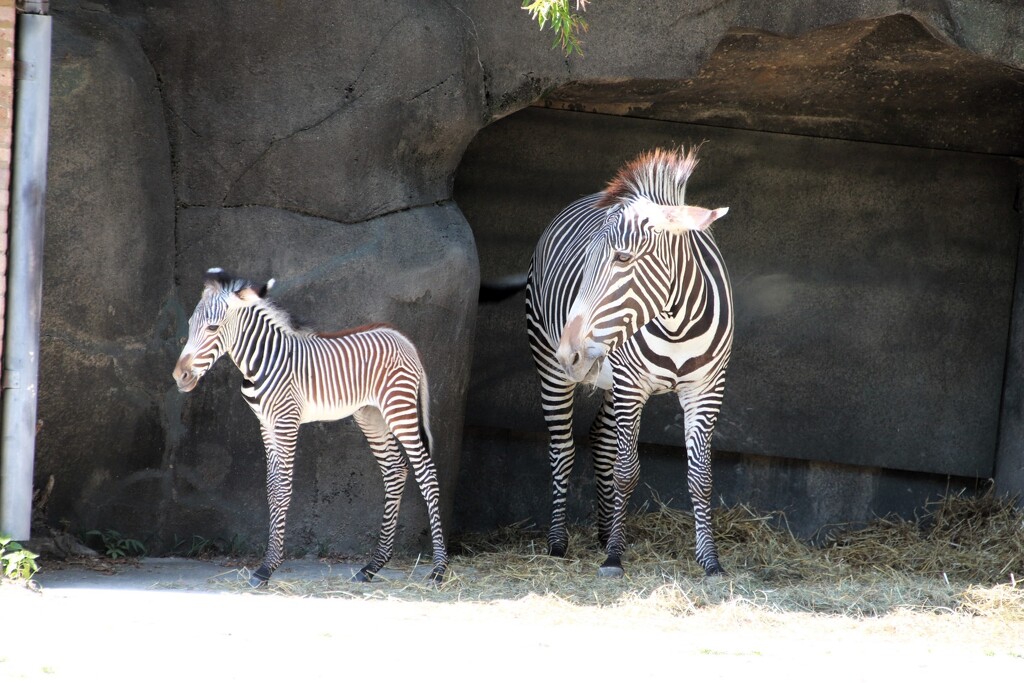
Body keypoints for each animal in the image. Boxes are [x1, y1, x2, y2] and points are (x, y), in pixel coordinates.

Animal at [173, 266, 448, 589]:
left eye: (213, 328)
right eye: (190, 325)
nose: (179, 377)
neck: (262, 361)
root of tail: (402, 338)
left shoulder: (286, 421)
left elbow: (283, 488)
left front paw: (266, 568)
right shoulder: (266, 425)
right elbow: (271, 488)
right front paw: (267, 564)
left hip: (399, 409)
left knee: (426, 473)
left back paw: (439, 569)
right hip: (371, 415)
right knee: (395, 470)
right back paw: (372, 567)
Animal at [524, 148, 733, 577]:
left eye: (623, 258)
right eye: (586, 262)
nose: (569, 352)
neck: (677, 323)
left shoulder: (706, 389)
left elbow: (701, 477)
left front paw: (711, 562)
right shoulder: (631, 386)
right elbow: (626, 472)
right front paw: (614, 559)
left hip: (608, 380)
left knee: (601, 440)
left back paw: (605, 532)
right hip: (554, 370)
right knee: (562, 450)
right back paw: (558, 542)